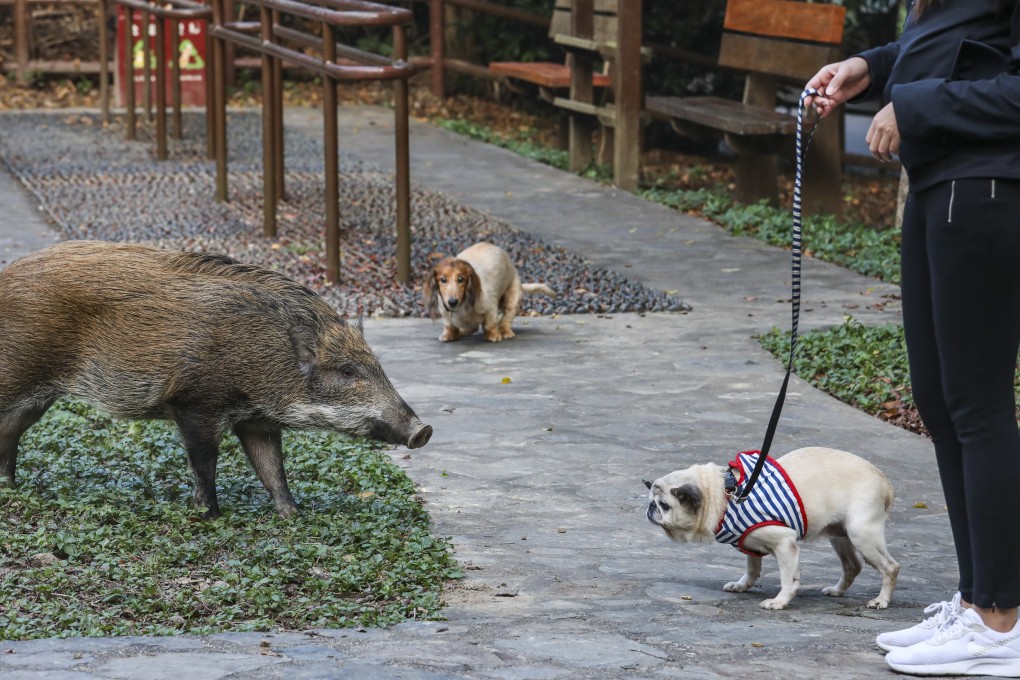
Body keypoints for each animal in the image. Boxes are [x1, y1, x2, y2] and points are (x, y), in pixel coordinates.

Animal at [0, 240, 432, 518]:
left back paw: (11, 487)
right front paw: (210, 514)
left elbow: (273, 468)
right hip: (17, 374)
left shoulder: (257, 419)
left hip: (38, 397)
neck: (264, 359)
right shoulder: (195, 403)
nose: (423, 430)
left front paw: (294, 516)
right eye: (346, 370)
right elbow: (205, 463)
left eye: (376, 364)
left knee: (9, 432)